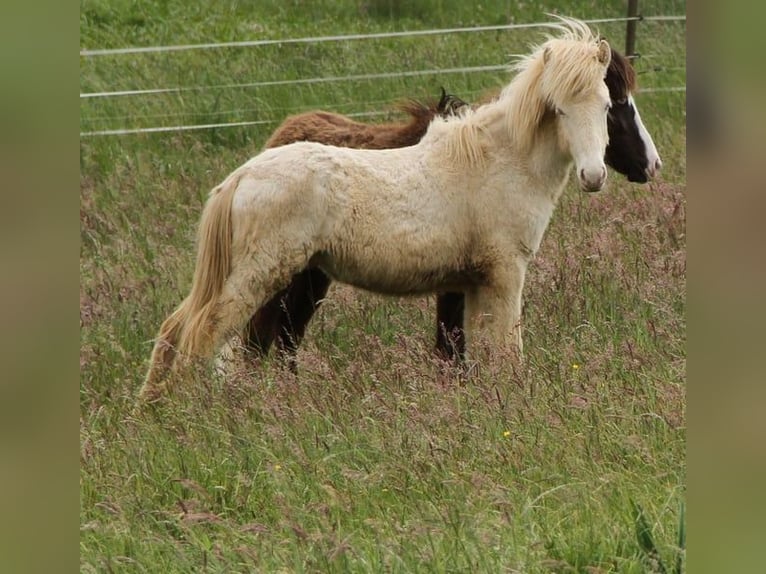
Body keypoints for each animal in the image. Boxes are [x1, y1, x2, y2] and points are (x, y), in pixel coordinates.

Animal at [140, 19, 614, 402]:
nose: (594, 175)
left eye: (607, 106)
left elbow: (480, 352)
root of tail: (241, 176)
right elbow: (507, 350)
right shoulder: (505, 274)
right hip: (260, 276)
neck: (496, 161)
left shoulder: (474, 284)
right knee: (204, 333)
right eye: (559, 109)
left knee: (176, 329)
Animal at [242, 48, 662, 367]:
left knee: (283, 338)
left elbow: (454, 348)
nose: (651, 164)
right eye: (619, 106)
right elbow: (457, 350)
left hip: (311, 277)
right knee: (263, 338)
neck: (492, 161)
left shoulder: (460, 281)